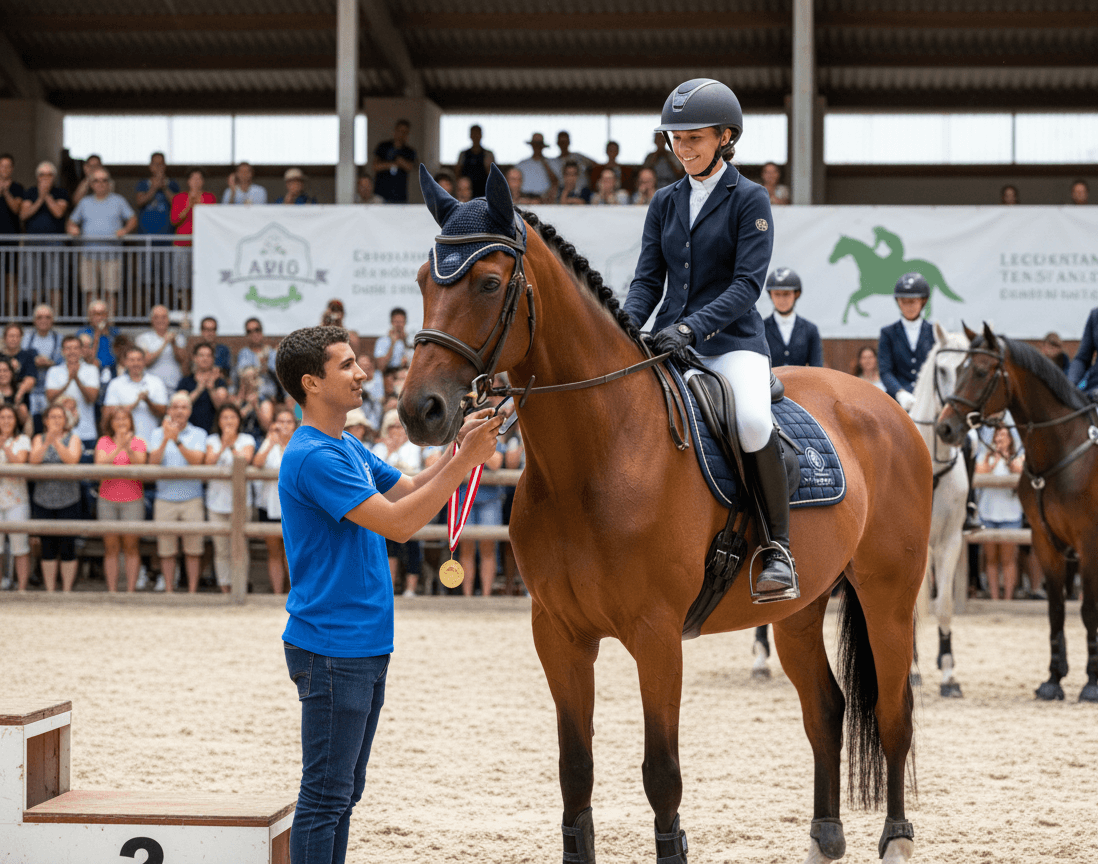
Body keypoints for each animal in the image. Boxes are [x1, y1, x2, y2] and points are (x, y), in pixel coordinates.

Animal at [399, 166, 932, 863]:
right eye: (422, 281)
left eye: (489, 283)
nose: (420, 411)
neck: (596, 456)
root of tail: (887, 406)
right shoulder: (558, 635)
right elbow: (575, 769)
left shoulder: (655, 636)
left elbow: (661, 774)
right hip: (799, 607)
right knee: (825, 709)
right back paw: (823, 839)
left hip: (887, 595)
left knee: (894, 714)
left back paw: (895, 838)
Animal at [937, 323, 1098, 703]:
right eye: (959, 369)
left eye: (981, 372)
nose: (945, 427)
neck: (1063, 453)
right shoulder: (1045, 542)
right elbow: (1055, 610)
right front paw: (1053, 680)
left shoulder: (1089, 543)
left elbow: (1086, 610)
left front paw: (1091, 683)